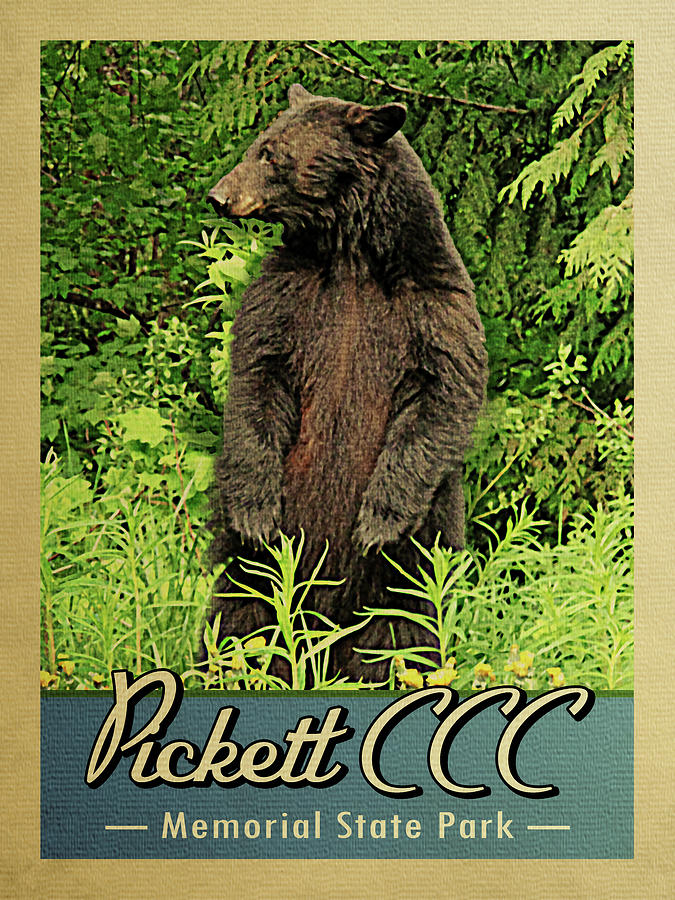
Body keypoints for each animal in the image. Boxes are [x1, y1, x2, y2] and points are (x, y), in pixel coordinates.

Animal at [207, 83, 488, 684]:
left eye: (272, 153)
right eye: (257, 143)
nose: (219, 196)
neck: (350, 254)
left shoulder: (432, 303)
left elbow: (443, 393)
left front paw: (377, 521)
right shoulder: (286, 295)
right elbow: (257, 375)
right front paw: (258, 511)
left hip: (412, 567)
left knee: (402, 628)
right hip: (252, 565)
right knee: (240, 611)